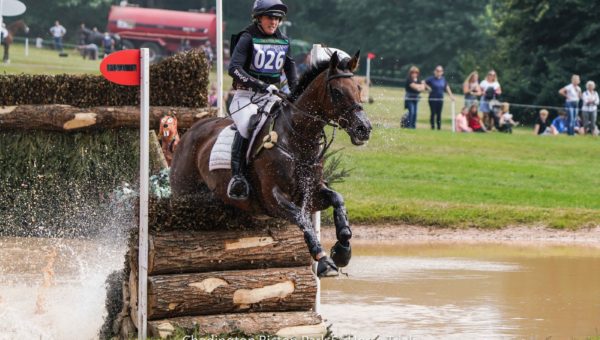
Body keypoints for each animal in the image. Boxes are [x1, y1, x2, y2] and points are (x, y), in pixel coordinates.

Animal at [169, 50, 372, 278]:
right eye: (336, 92)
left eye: (359, 88)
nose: (364, 128)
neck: (296, 139)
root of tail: (188, 134)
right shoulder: (272, 198)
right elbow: (302, 219)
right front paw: (324, 261)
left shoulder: (312, 193)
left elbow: (338, 200)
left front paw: (343, 251)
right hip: (182, 190)